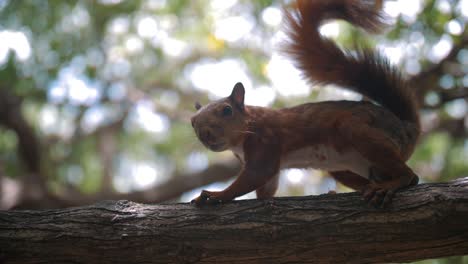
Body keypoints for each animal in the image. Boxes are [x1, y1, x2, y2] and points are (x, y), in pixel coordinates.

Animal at [190, 0, 420, 206]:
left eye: (227, 110)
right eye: (193, 122)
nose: (205, 134)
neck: (245, 130)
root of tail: (407, 128)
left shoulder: (266, 138)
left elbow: (257, 174)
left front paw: (216, 195)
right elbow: (266, 187)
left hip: (358, 131)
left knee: (412, 177)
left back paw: (391, 184)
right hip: (347, 168)